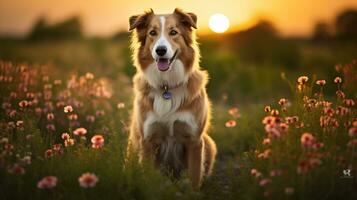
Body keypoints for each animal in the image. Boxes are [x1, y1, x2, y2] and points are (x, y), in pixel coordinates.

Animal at [128, 8, 217, 189]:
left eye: (174, 32)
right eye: (152, 33)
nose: (160, 50)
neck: (166, 87)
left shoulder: (194, 140)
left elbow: (195, 176)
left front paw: (193, 192)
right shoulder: (147, 140)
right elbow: (148, 178)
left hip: (209, 143)